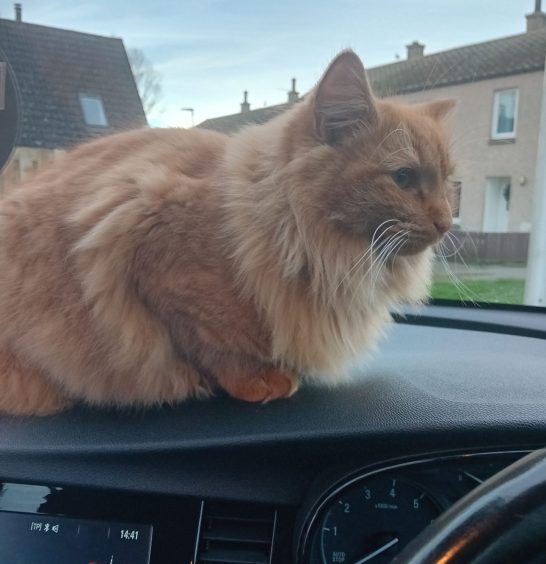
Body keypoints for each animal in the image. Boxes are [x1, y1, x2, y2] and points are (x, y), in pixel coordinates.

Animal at [0, 51, 452, 414]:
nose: (447, 222)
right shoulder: (147, 245)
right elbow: (213, 340)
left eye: (448, 181)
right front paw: (260, 379)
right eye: (404, 178)